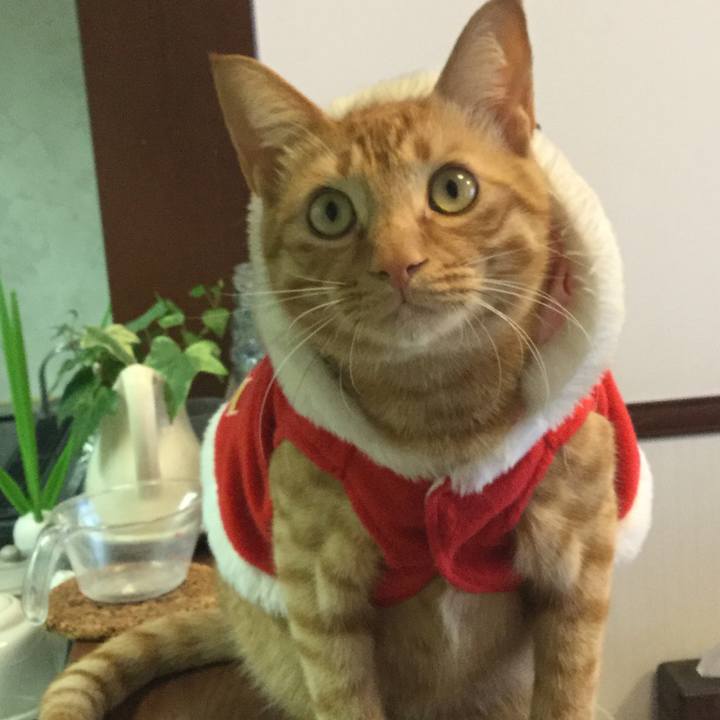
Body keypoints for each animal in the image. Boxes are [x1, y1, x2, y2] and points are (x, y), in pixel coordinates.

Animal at [39, 1, 652, 719]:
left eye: (453, 188)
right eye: (330, 211)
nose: (398, 263)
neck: (439, 414)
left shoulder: (575, 569)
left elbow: (566, 693)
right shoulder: (320, 591)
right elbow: (344, 697)